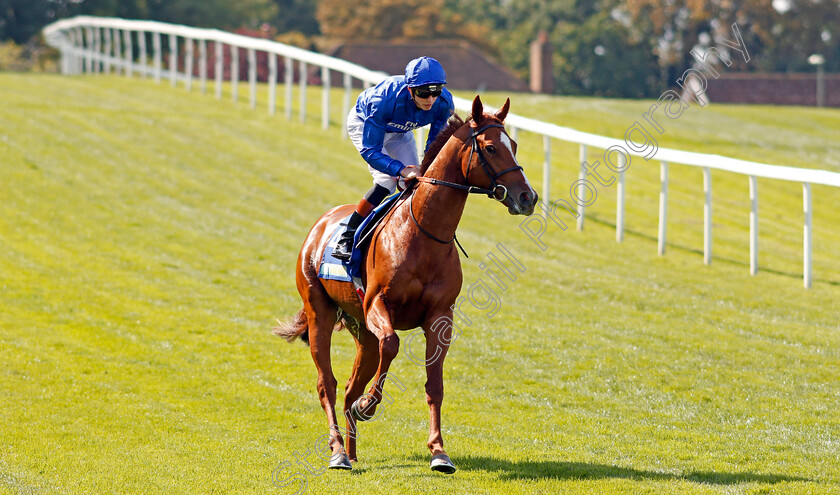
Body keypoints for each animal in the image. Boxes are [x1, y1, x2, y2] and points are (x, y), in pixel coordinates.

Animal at [276, 94, 540, 472]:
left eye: (514, 146)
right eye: (490, 148)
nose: (527, 197)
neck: (424, 234)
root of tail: (320, 226)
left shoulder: (441, 317)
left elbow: (435, 384)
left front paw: (439, 451)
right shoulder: (377, 305)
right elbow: (392, 345)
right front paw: (369, 406)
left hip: (361, 332)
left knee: (349, 387)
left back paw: (353, 451)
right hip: (319, 313)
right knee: (328, 384)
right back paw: (339, 451)